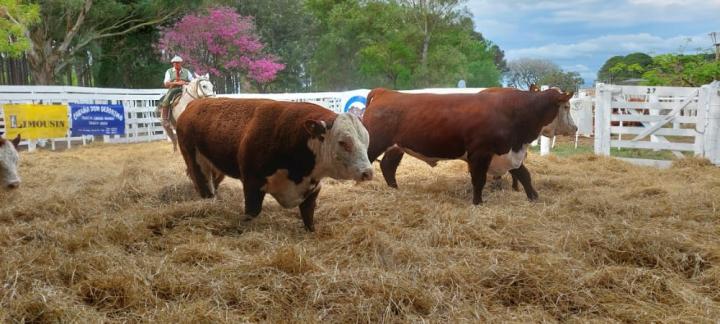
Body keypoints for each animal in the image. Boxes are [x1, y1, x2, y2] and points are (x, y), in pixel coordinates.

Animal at [176, 98, 374, 230]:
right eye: (343, 142)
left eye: (367, 140)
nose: (368, 172)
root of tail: (195, 104)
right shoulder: (252, 182)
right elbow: (252, 211)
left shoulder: (313, 188)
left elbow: (308, 216)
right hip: (195, 162)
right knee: (204, 188)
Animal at [366, 87, 572, 204]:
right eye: (567, 107)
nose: (575, 127)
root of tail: (385, 92)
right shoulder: (480, 154)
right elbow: (479, 180)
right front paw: (478, 203)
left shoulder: (506, 153)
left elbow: (524, 175)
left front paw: (534, 198)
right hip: (374, 143)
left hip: (396, 147)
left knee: (388, 166)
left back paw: (394, 189)